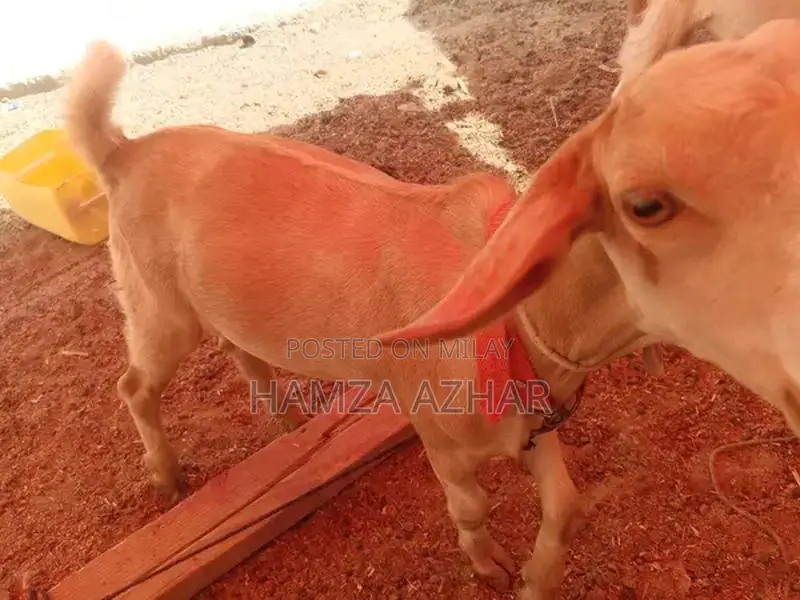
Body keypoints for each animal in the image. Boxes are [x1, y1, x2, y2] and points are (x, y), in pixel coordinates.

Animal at [64, 40, 664, 600]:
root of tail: (124, 151)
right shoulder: (440, 430)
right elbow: (471, 505)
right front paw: (489, 564)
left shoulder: (536, 414)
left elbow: (565, 507)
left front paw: (536, 580)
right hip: (158, 305)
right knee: (135, 386)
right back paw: (168, 475)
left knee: (237, 348)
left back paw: (286, 423)